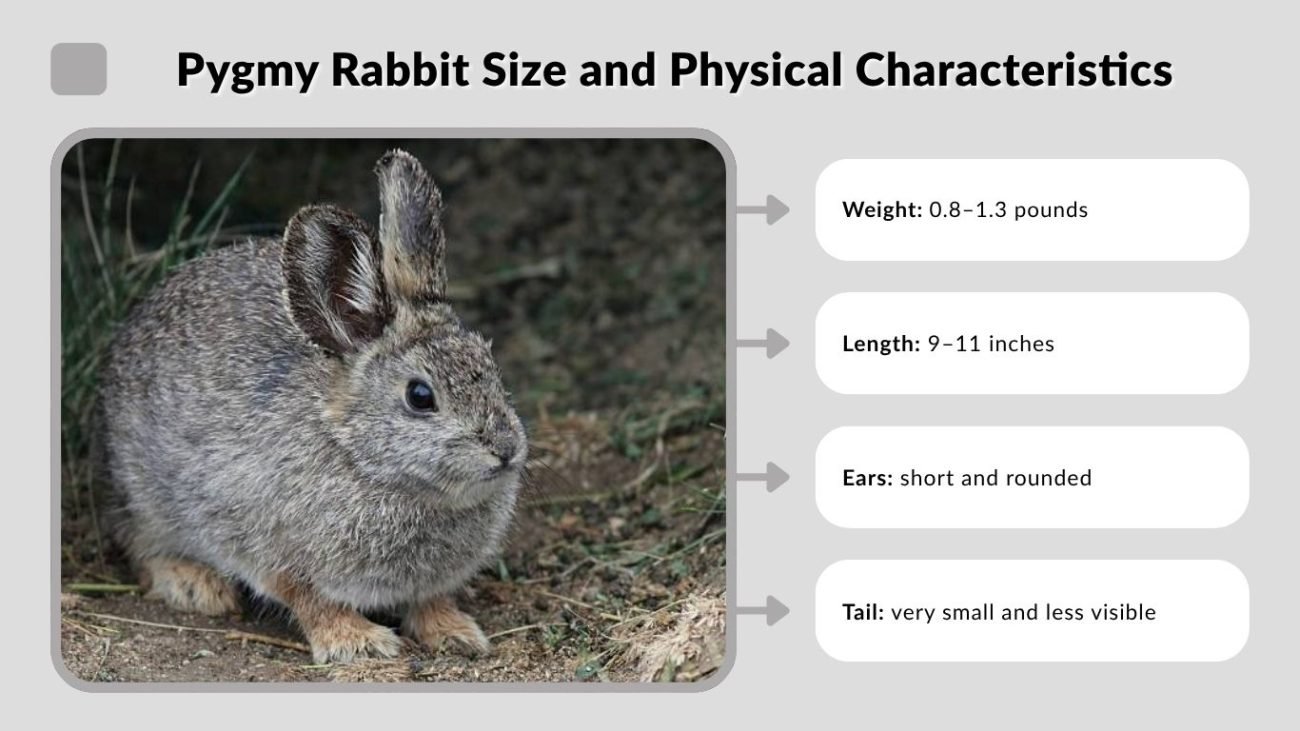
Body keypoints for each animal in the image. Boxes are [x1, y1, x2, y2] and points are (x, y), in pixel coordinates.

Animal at [96, 149, 528, 664]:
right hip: (144, 494)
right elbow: (313, 601)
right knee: (140, 544)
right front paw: (358, 643)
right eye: (420, 396)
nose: (505, 449)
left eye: (490, 363)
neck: (360, 458)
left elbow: (430, 599)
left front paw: (456, 633)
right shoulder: (271, 551)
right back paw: (196, 586)